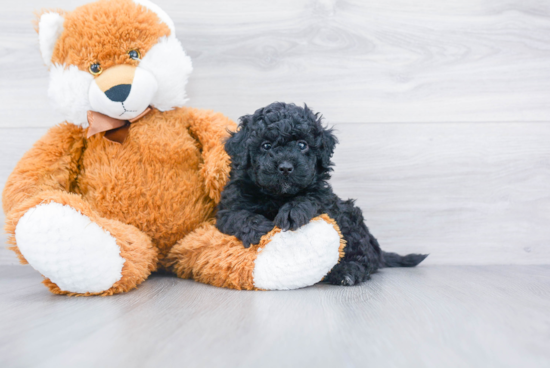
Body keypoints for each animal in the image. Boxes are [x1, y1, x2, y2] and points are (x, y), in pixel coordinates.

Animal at [218, 102, 430, 286]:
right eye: (266, 146)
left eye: (302, 145)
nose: (285, 167)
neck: (278, 196)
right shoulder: (228, 207)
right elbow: (238, 216)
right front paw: (259, 228)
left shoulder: (325, 197)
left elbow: (311, 197)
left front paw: (292, 211)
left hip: (349, 218)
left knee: (364, 258)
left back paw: (348, 272)